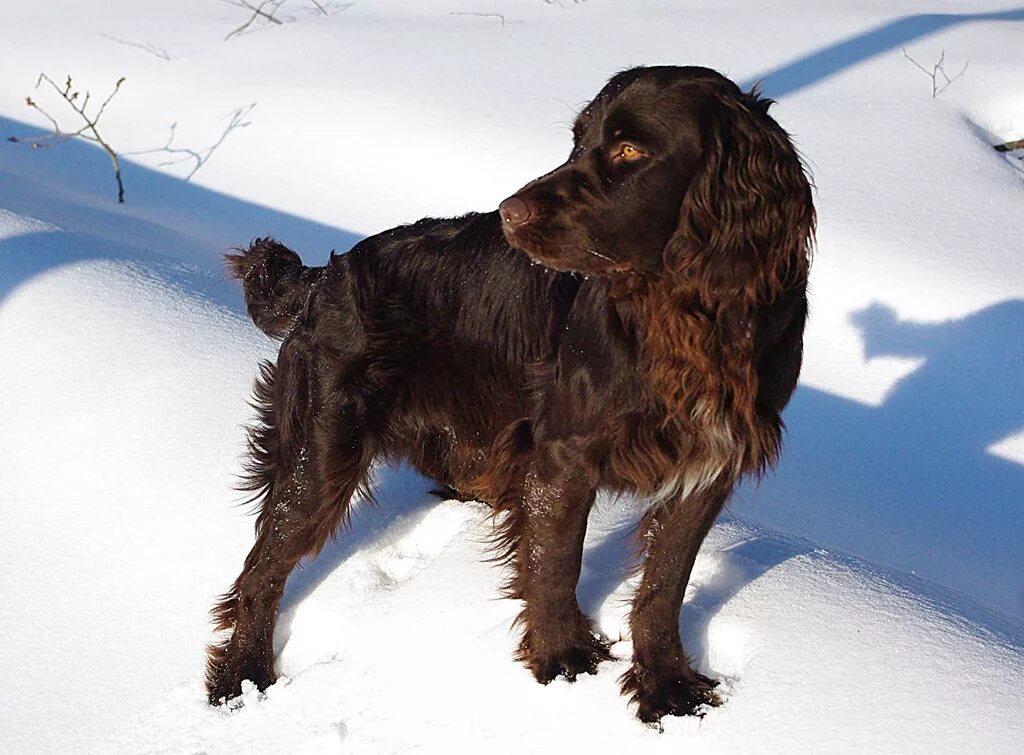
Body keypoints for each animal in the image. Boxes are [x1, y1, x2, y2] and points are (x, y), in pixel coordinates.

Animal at [207, 64, 815, 717]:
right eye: (577, 140)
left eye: (629, 150)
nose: (509, 212)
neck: (683, 318)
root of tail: (330, 274)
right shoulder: (564, 455)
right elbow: (556, 561)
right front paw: (562, 657)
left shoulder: (707, 466)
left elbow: (664, 584)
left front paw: (666, 685)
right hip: (323, 446)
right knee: (263, 566)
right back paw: (242, 676)